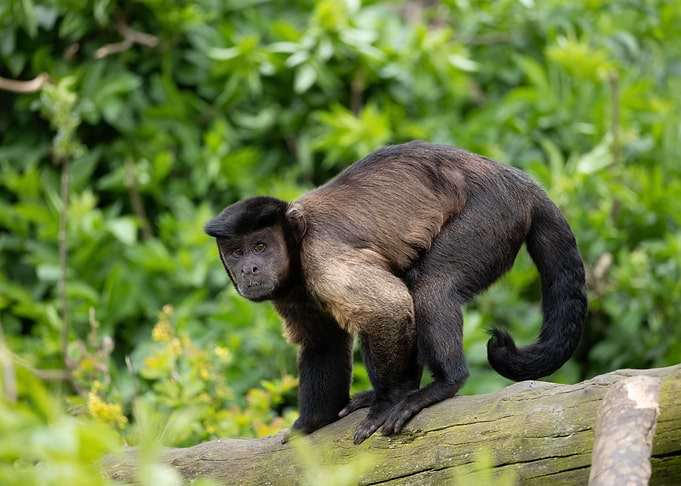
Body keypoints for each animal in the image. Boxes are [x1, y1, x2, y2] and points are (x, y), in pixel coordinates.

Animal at [204, 141, 587, 445]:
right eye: (236, 252)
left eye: (260, 246)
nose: (249, 269)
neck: (296, 249)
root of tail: (518, 181)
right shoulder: (291, 292)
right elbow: (323, 341)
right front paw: (310, 424)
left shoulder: (321, 257)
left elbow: (388, 309)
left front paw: (387, 403)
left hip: (493, 214)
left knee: (431, 285)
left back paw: (442, 384)